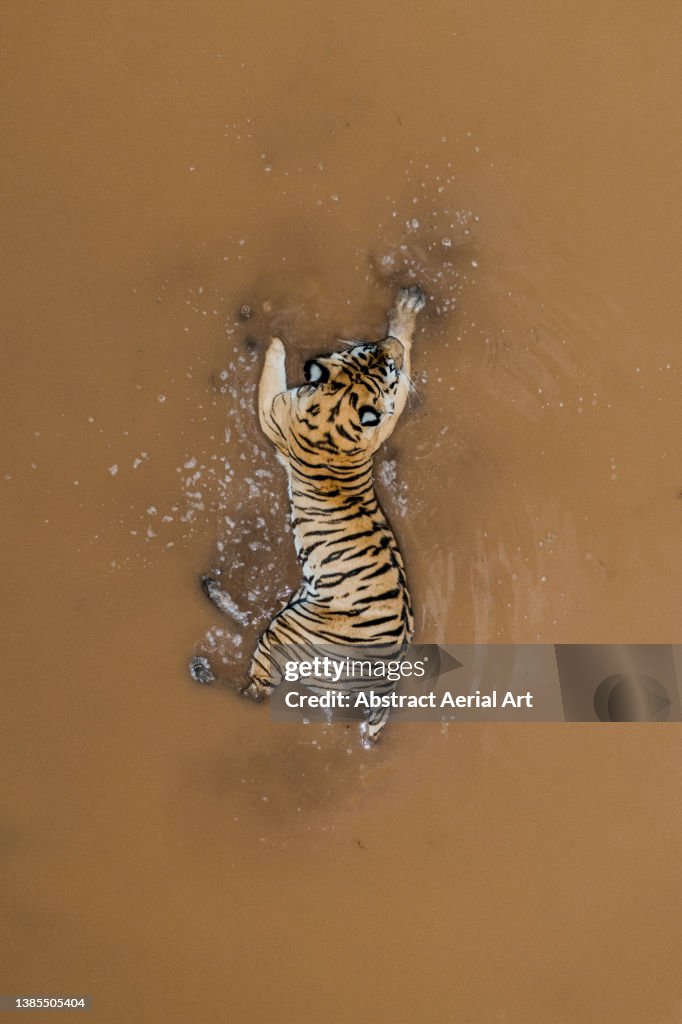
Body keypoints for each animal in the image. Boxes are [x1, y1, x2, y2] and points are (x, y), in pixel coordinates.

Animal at [190, 284, 427, 744]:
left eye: (387, 364)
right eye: (377, 354)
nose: (388, 344)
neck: (340, 404)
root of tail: (388, 679)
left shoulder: (273, 412)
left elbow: (270, 374)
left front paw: (275, 341)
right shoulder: (383, 422)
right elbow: (400, 396)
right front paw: (406, 314)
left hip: (289, 630)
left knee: (255, 690)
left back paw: (202, 668)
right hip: (294, 607)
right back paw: (212, 590)